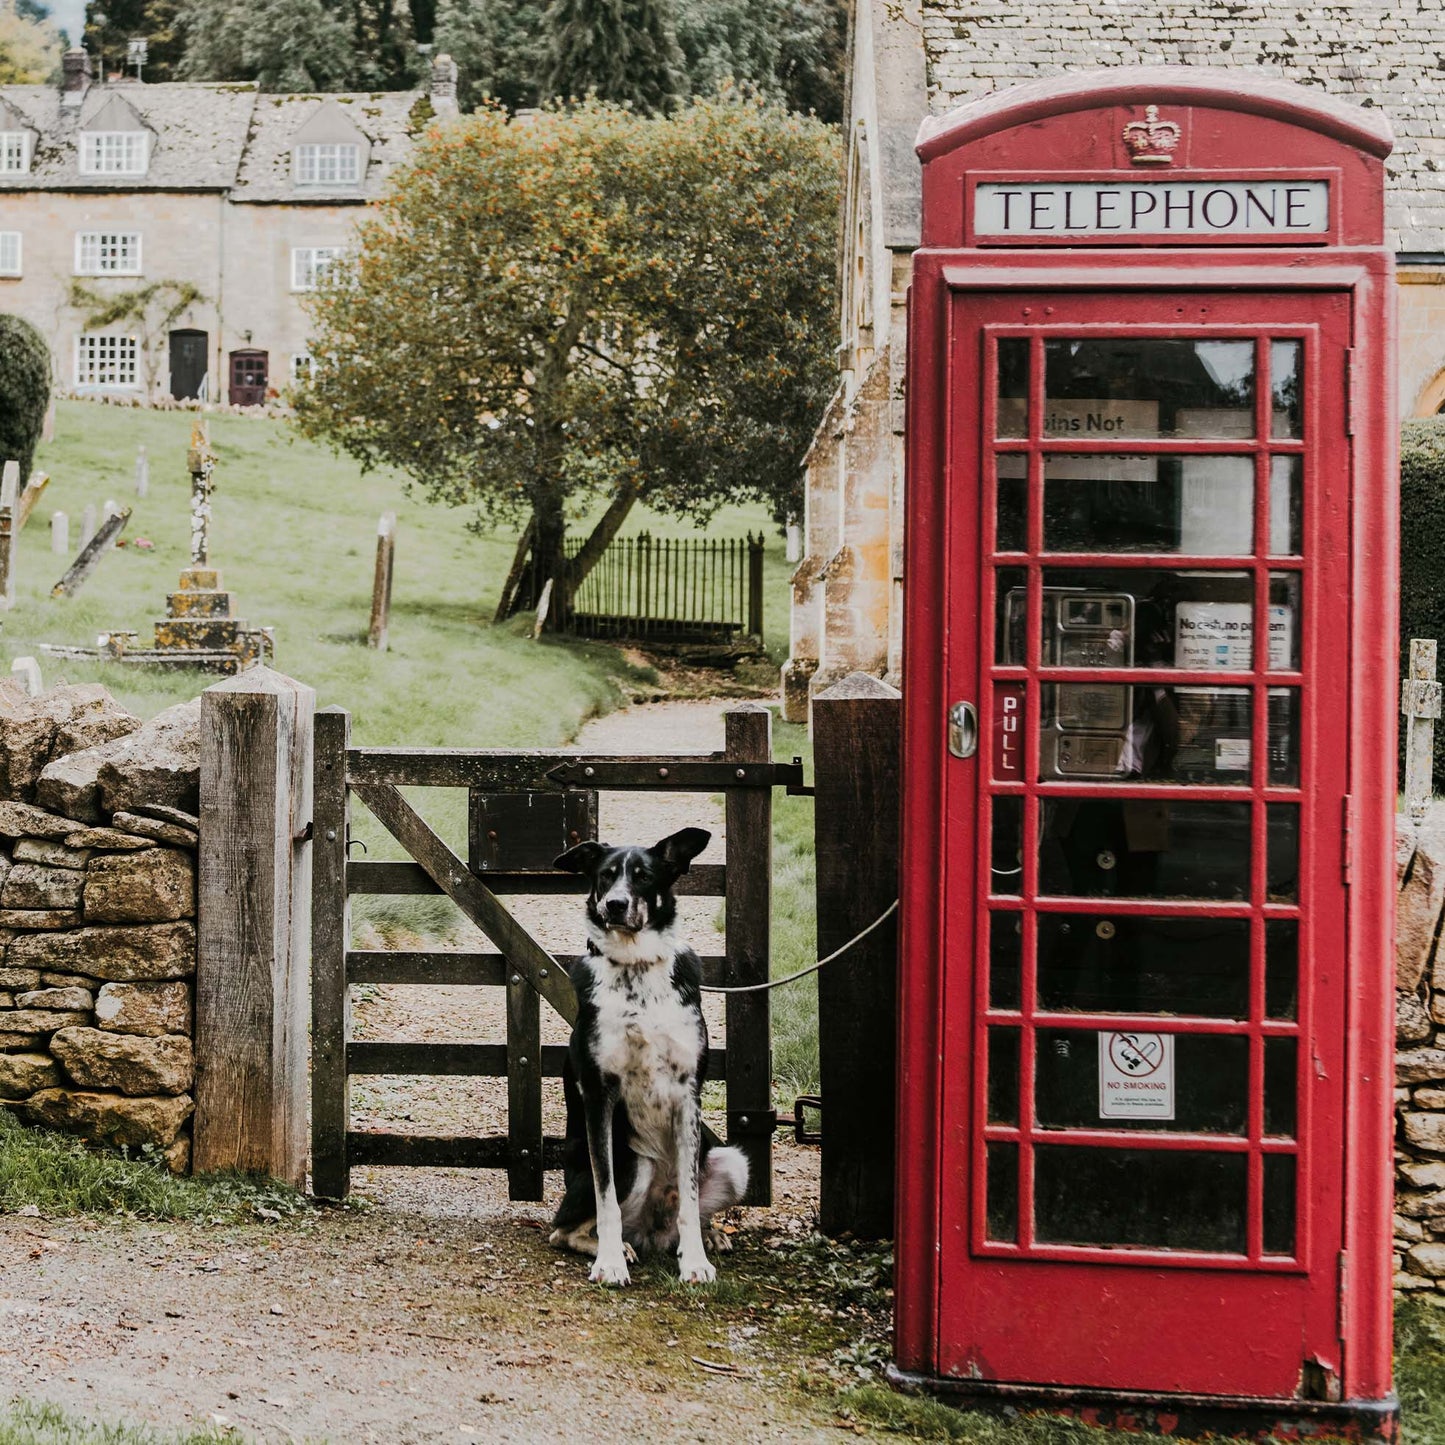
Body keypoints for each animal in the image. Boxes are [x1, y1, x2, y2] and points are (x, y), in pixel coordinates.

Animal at [546, 826, 751, 1288]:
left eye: (643, 877)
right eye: (605, 876)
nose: (614, 904)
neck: (636, 965)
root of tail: (652, 1231)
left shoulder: (688, 1093)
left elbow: (690, 1198)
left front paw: (695, 1262)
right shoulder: (599, 1094)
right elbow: (605, 1198)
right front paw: (609, 1263)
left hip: (732, 1162)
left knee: (684, 1212)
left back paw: (708, 1237)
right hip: (632, 1163)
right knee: (564, 1229)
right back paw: (617, 1246)